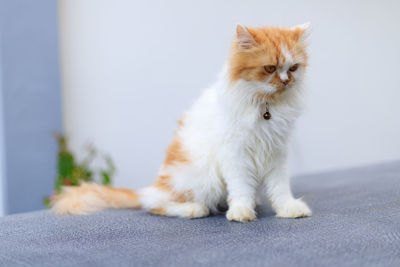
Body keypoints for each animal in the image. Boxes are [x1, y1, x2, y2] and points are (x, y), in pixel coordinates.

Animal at [52, 24, 312, 223]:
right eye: (270, 68)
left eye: (293, 68)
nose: (286, 82)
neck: (266, 107)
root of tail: (152, 187)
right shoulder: (235, 155)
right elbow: (240, 189)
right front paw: (241, 212)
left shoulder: (277, 153)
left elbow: (280, 188)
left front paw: (288, 208)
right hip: (204, 179)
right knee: (155, 205)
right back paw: (194, 209)